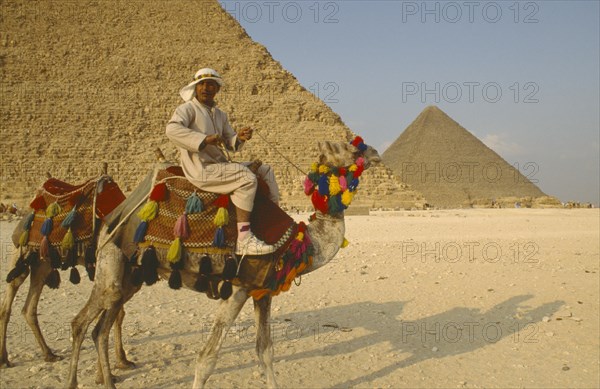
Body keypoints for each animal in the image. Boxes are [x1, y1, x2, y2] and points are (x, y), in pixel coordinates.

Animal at [0, 170, 135, 378]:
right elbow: (115, 314)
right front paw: (112, 369)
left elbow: (118, 314)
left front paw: (122, 361)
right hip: (20, 253)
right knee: (8, 301)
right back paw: (4, 359)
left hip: (42, 264)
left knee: (29, 307)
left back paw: (49, 354)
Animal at [65, 138, 382, 386]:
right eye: (349, 148)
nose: (376, 152)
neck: (301, 242)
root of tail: (114, 214)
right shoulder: (238, 289)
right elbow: (207, 358)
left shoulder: (263, 292)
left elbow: (265, 351)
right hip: (111, 262)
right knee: (82, 322)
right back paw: (74, 382)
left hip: (131, 274)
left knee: (100, 328)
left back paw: (109, 381)